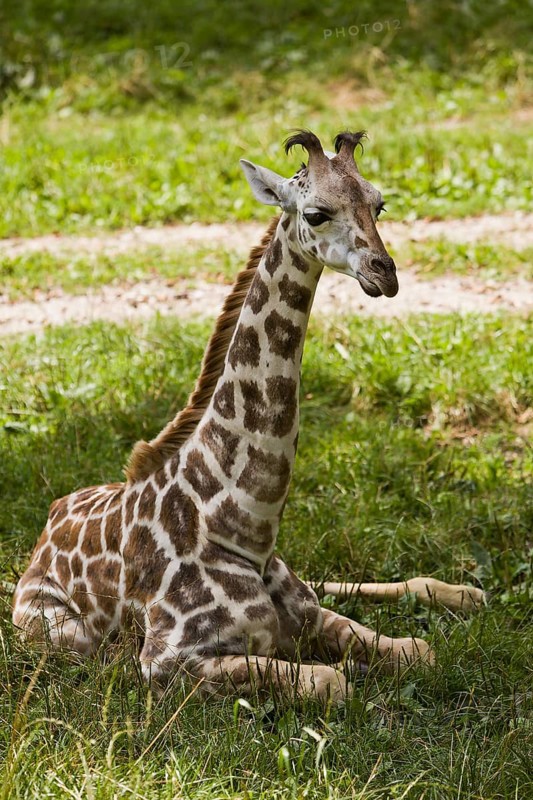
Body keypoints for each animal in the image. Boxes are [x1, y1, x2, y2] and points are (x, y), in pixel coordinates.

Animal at [13, 131, 485, 703]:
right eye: (316, 212)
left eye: (379, 204)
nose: (384, 273)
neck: (245, 528)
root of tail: (50, 517)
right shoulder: (166, 661)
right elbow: (332, 680)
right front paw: (354, 672)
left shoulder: (311, 616)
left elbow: (419, 649)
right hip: (60, 632)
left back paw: (464, 592)